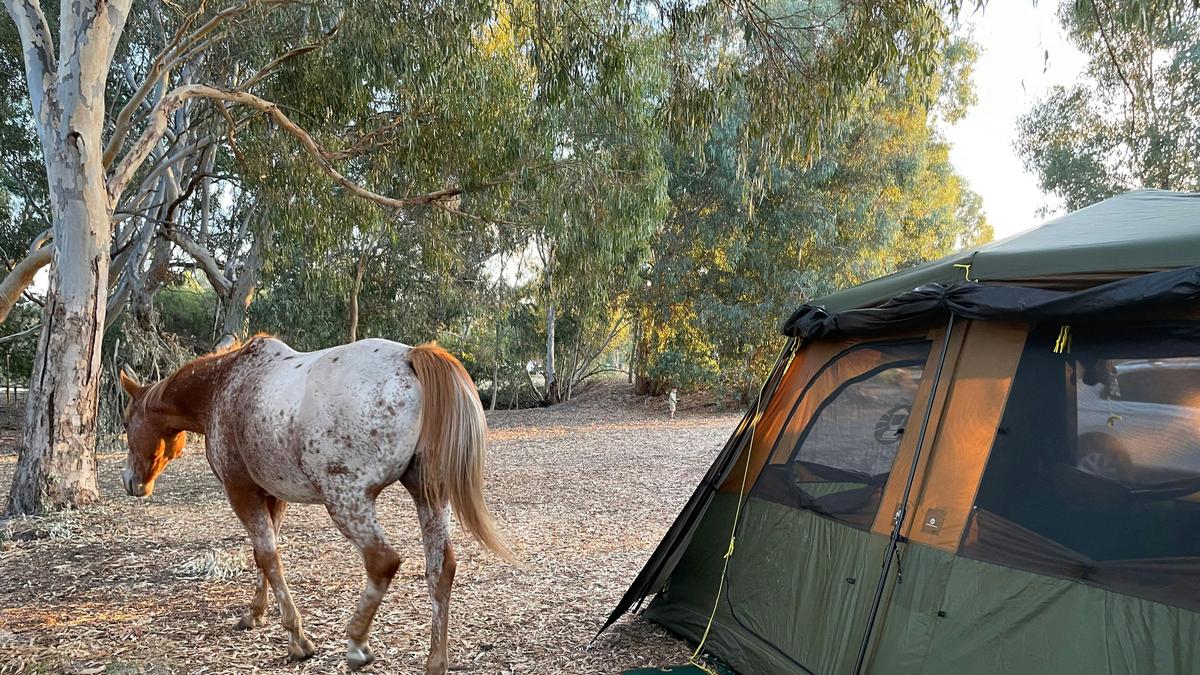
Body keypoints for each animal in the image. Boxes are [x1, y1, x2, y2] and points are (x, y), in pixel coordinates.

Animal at [117, 335, 514, 673]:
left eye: (125, 422)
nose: (131, 482)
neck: (224, 385)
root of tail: (410, 357)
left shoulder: (241, 492)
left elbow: (267, 557)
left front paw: (296, 638)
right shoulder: (272, 496)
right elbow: (265, 555)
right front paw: (256, 612)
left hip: (346, 501)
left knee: (383, 561)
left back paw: (356, 644)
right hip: (428, 496)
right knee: (440, 569)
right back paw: (435, 661)